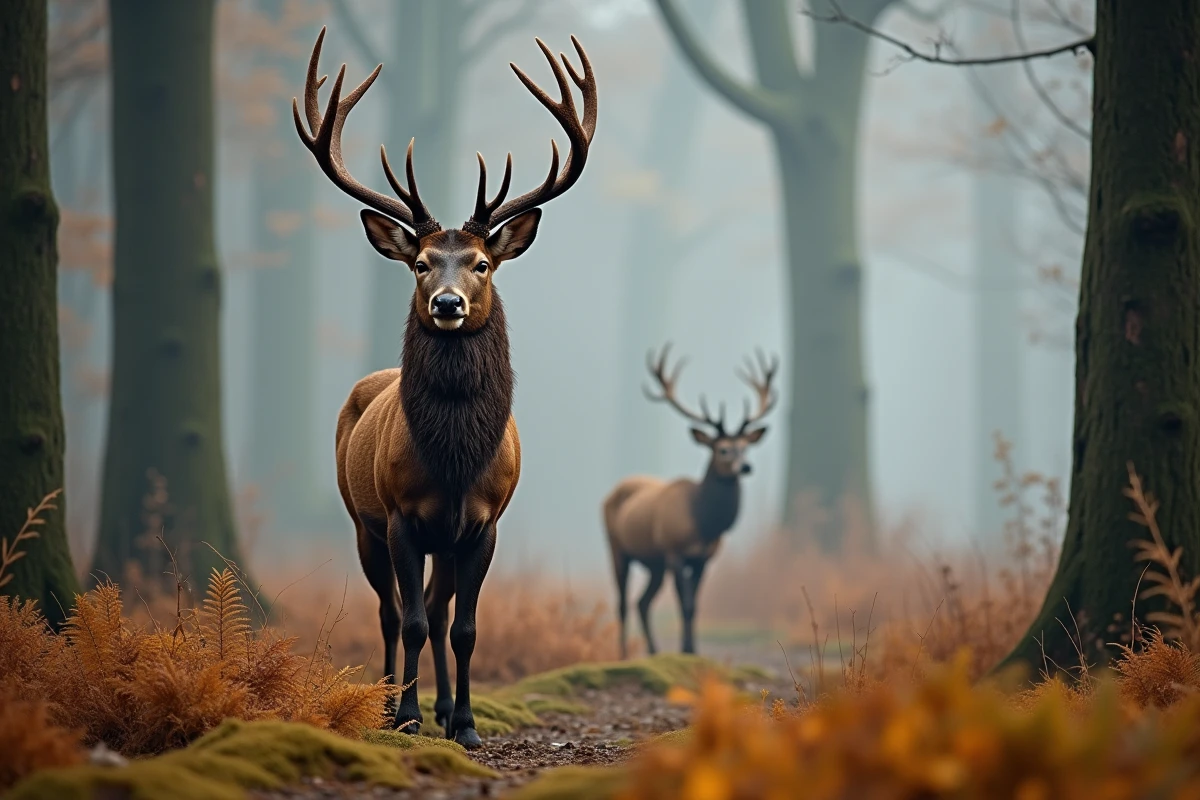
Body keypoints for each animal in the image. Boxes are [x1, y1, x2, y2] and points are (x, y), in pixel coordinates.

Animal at [293, 27, 596, 748]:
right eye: (422, 263)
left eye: (482, 263)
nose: (449, 303)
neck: (456, 461)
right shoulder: (402, 515)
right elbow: (408, 620)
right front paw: (404, 717)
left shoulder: (483, 522)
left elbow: (463, 627)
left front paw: (464, 722)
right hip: (361, 519)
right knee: (387, 610)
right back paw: (389, 703)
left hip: (442, 542)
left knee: (435, 605)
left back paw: (436, 707)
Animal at [604, 344, 777, 659]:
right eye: (723, 449)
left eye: (745, 447)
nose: (745, 467)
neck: (703, 524)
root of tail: (615, 489)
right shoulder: (674, 551)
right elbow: (683, 604)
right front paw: (685, 650)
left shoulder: (703, 558)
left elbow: (694, 606)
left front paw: (692, 650)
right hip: (617, 547)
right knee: (622, 601)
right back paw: (623, 654)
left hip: (654, 563)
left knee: (642, 602)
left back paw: (654, 651)